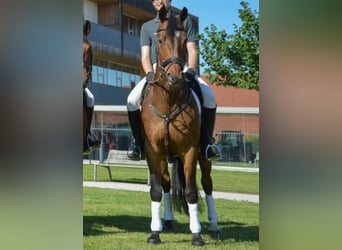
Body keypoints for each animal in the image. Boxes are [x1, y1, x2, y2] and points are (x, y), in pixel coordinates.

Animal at [140, 6, 204, 246]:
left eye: (184, 40)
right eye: (159, 40)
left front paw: (197, 235)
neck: (168, 101)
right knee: (167, 185)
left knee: (208, 184)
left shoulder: (190, 151)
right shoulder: (152, 151)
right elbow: (157, 191)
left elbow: (191, 192)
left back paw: (214, 227)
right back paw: (165, 222)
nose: (175, 77)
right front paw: (154, 233)